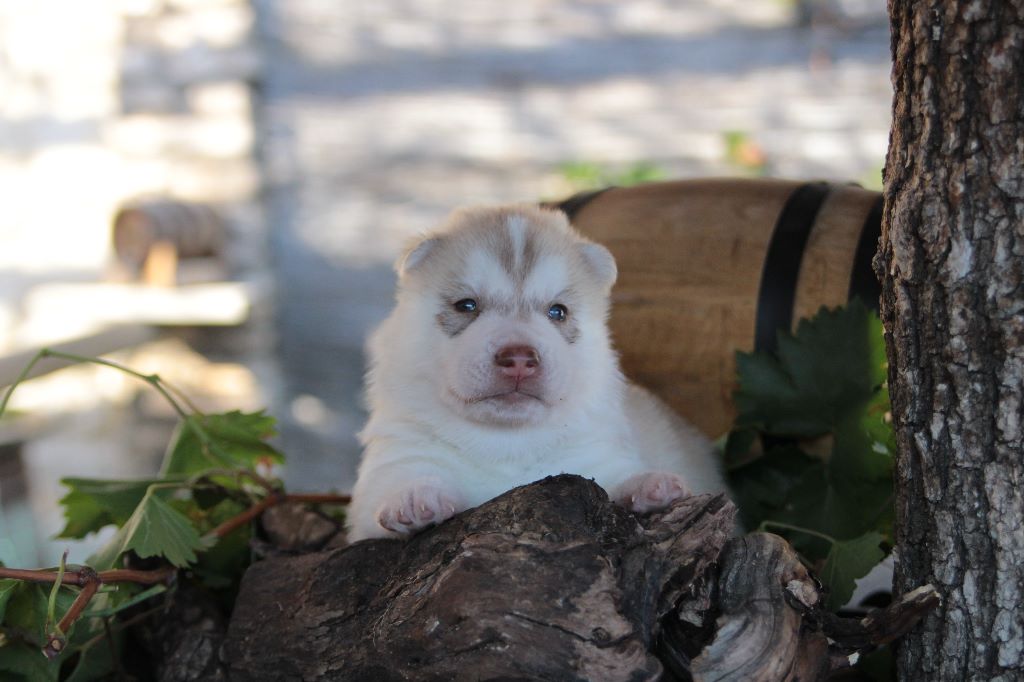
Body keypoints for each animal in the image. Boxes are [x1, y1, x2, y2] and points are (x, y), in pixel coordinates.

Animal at [346, 205, 728, 541]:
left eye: (557, 311)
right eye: (466, 305)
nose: (519, 357)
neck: (507, 443)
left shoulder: (595, 452)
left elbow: (616, 475)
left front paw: (651, 485)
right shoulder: (396, 456)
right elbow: (402, 480)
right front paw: (414, 498)